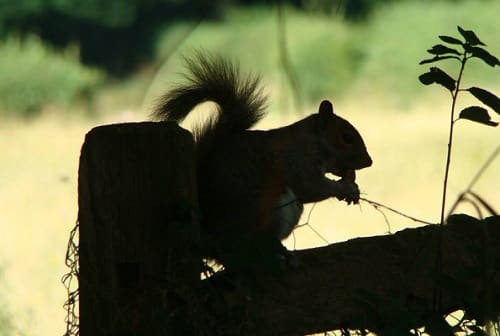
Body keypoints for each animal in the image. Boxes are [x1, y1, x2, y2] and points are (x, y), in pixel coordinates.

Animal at [152, 52, 372, 270]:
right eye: (347, 137)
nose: (369, 162)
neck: (311, 141)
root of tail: (210, 234)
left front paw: (353, 188)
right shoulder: (295, 161)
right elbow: (310, 187)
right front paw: (344, 188)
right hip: (268, 211)